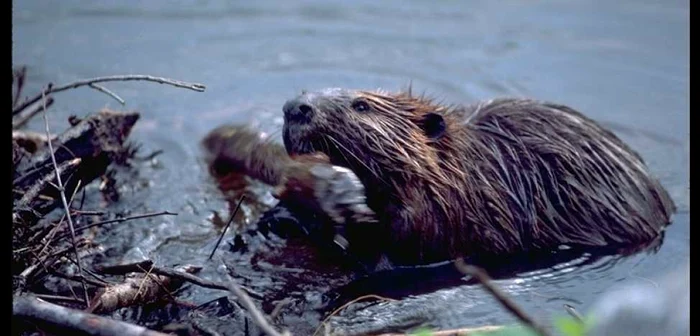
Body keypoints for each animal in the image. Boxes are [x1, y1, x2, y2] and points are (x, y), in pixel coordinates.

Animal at [205, 88, 676, 272]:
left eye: (361, 105)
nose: (295, 106)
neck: (473, 168)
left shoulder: (450, 212)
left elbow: (395, 248)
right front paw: (275, 217)